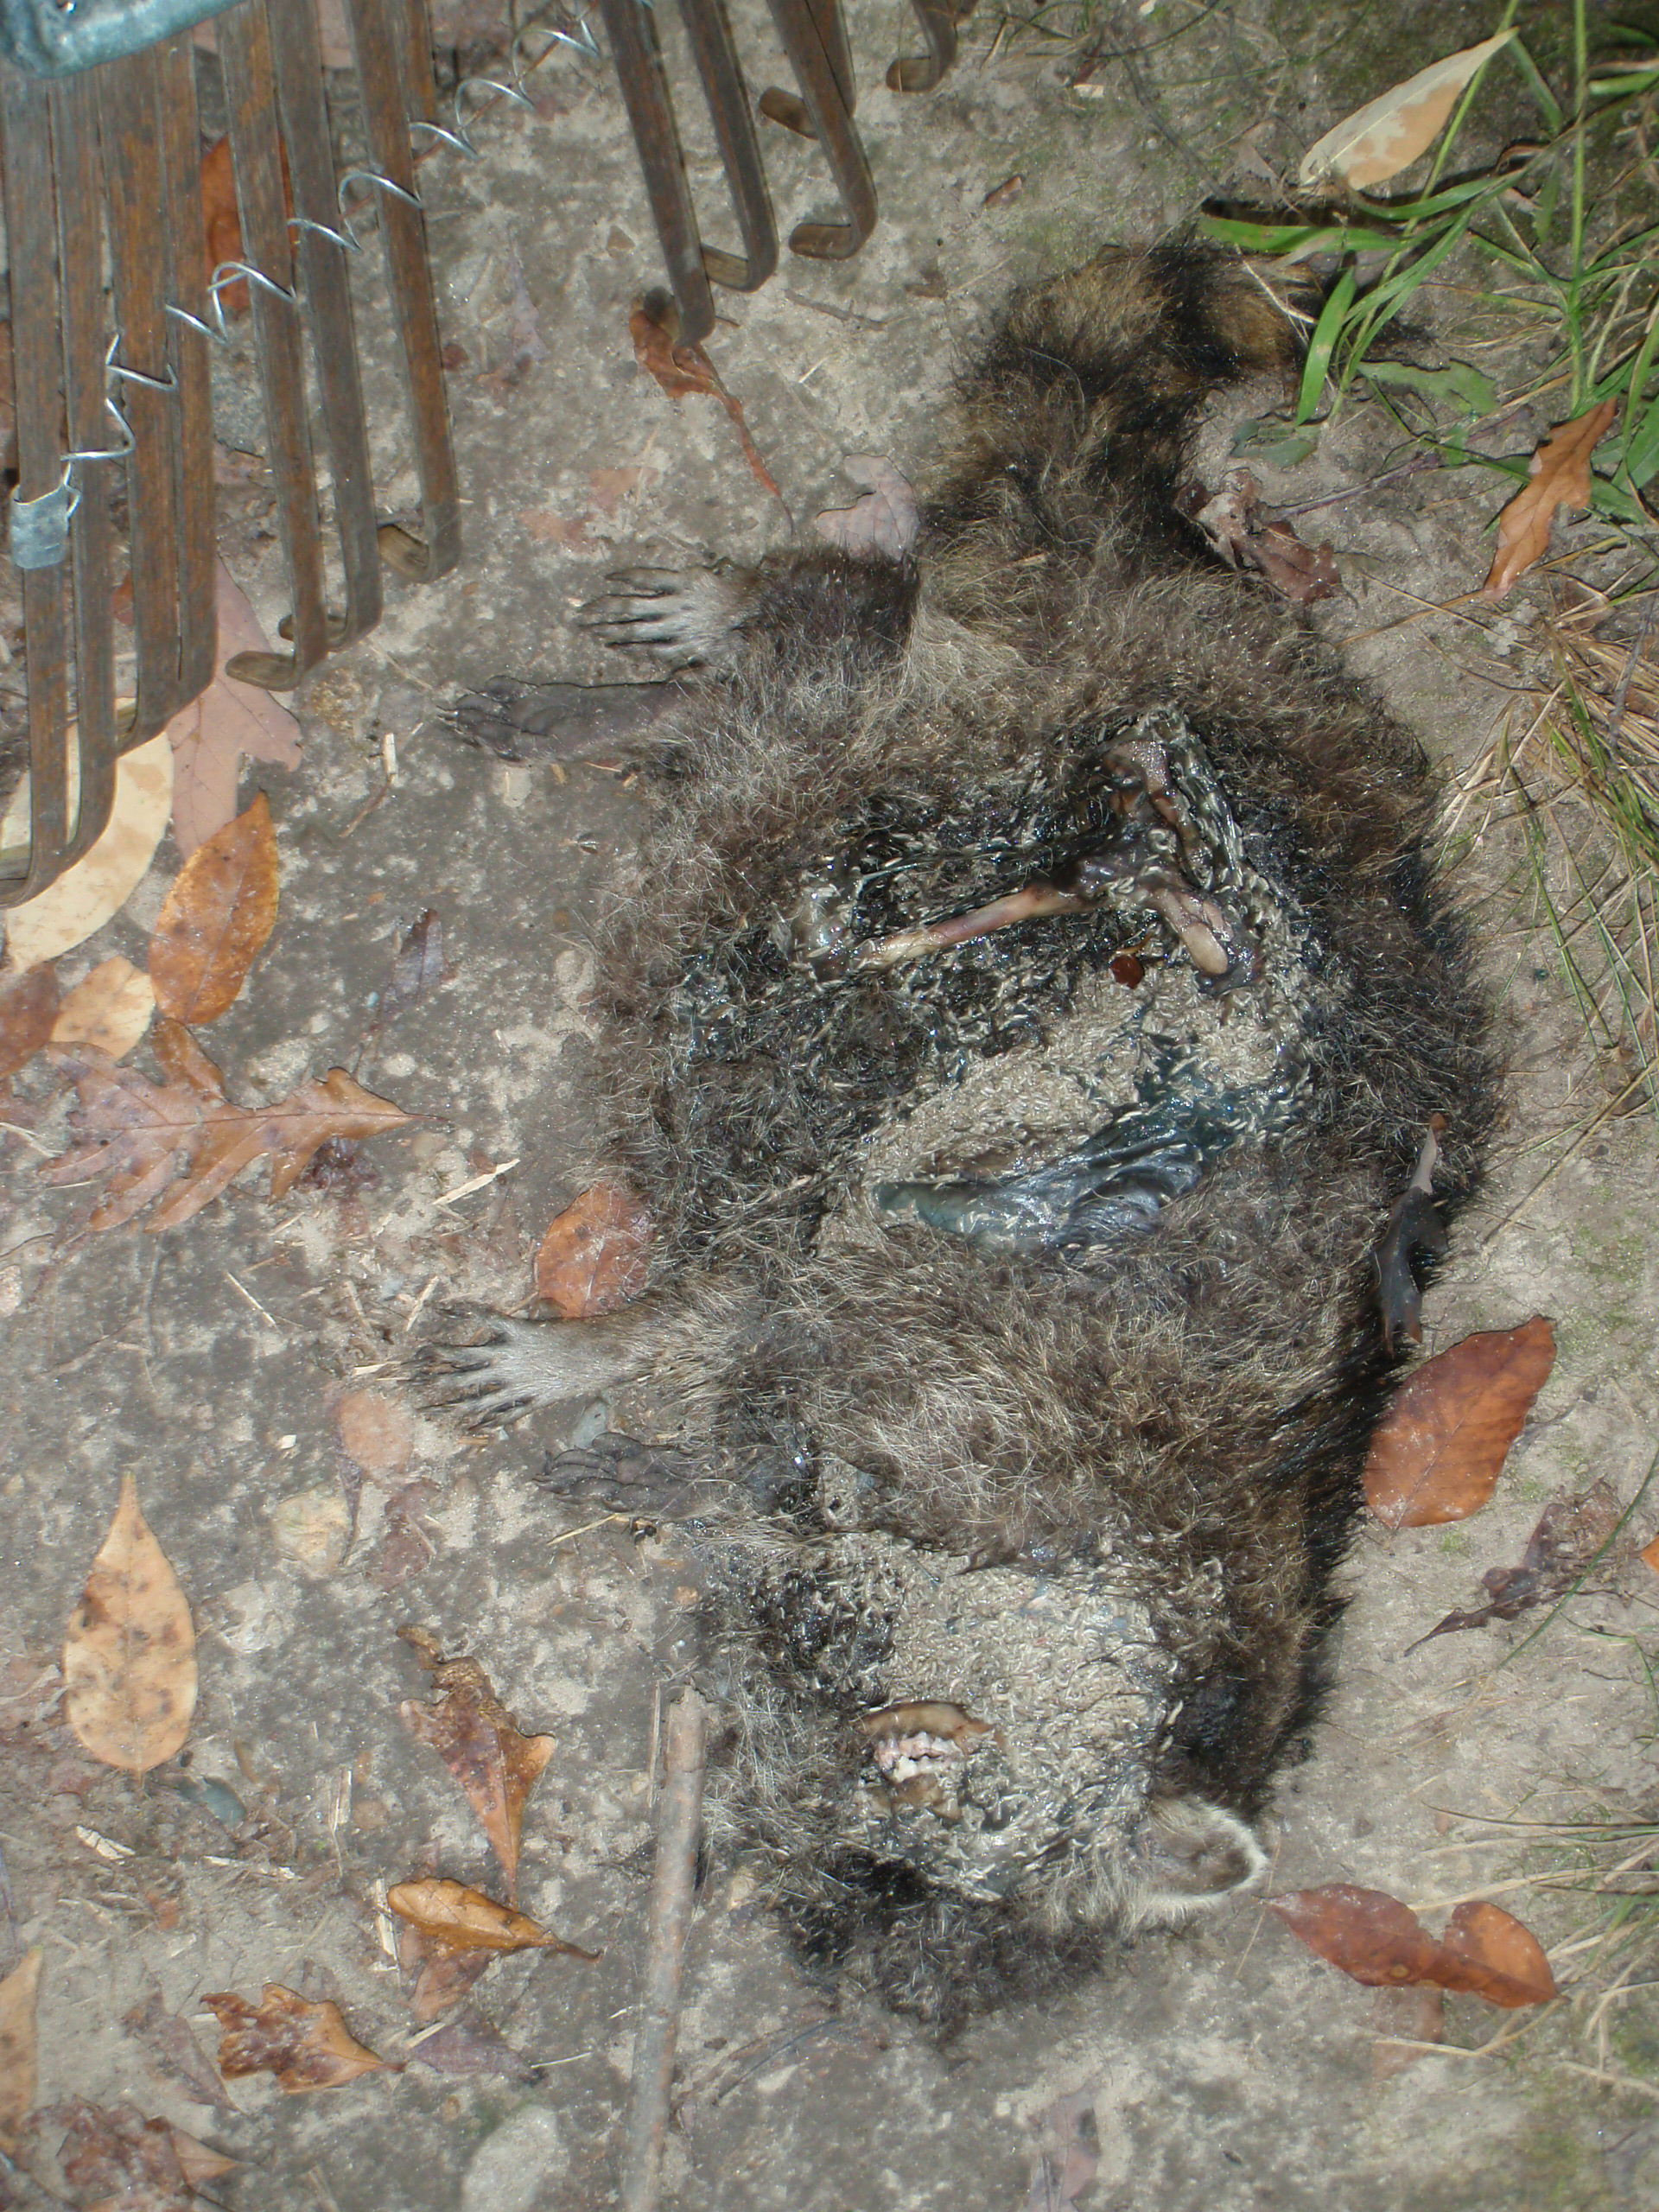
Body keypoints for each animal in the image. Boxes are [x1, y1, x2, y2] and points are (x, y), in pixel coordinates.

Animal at [434, 244, 1497, 2028]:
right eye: (907, 1791)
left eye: (878, 1869)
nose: (806, 1926)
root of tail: (1196, 601)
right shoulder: (928, 1330)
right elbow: (734, 1311)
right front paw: (596, 1351)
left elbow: (721, 1389)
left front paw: (627, 1427)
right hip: (1027, 731)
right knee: (850, 635)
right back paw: (754, 618)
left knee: (781, 698)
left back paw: (649, 705)